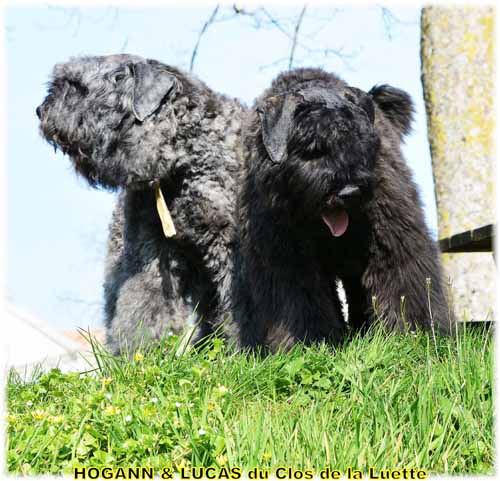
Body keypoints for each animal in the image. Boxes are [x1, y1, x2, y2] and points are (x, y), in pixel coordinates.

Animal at [37, 54, 244, 350]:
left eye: (78, 87)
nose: (40, 111)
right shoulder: (152, 251)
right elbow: (144, 304)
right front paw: (140, 354)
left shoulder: (230, 247)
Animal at [234, 67, 454, 350]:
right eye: (312, 146)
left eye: (361, 140)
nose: (349, 192)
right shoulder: (286, 256)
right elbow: (298, 298)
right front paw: (308, 343)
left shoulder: (392, 237)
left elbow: (402, 280)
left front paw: (415, 334)